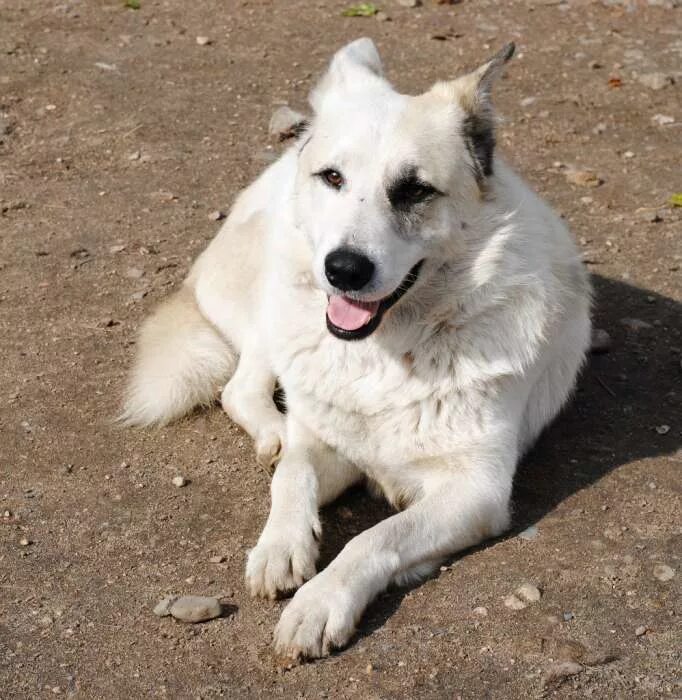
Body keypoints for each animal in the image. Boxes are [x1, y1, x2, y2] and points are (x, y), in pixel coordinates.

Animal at [122, 41, 588, 660]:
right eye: (333, 177)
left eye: (415, 189)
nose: (343, 270)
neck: (387, 353)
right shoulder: (326, 441)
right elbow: (292, 475)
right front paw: (281, 545)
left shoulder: (475, 490)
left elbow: (374, 536)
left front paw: (320, 603)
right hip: (276, 298)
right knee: (241, 387)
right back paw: (274, 432)